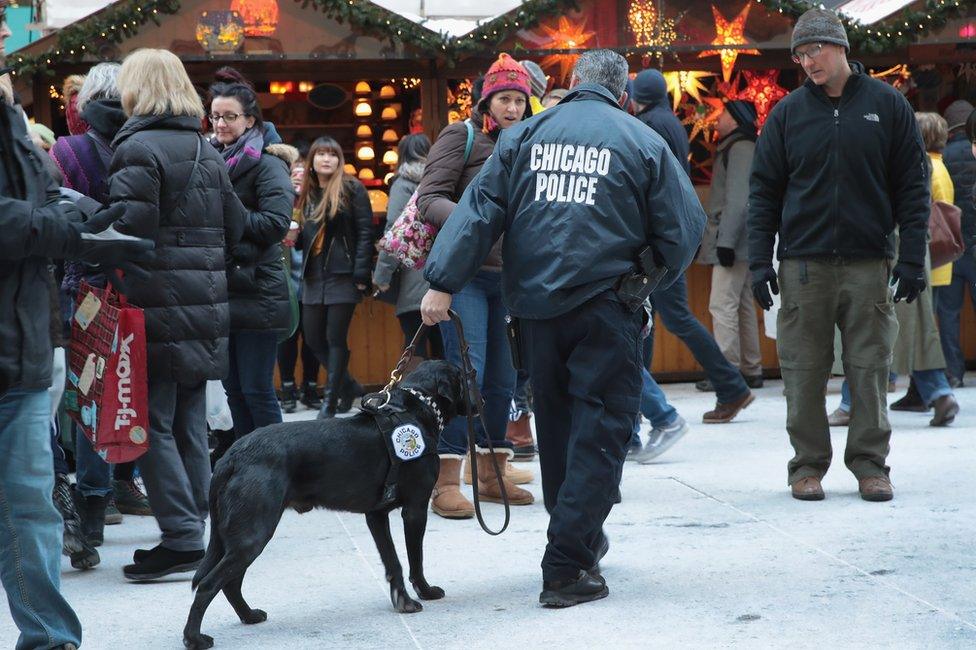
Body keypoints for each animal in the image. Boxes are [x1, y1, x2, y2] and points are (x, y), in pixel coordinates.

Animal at [184, 356, 472, 644]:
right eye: (467, 375)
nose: (479, 399)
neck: (415, 407)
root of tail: (232, 455)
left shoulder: (376, 515)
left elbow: (393, 562)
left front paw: (402, 600)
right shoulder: (415, 509)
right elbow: (415, 558)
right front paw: (424, 592)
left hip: (240, 537)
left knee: (230, 583)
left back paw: (249, 615)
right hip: (251, 535)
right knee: (210, 584)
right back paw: (194, 637)